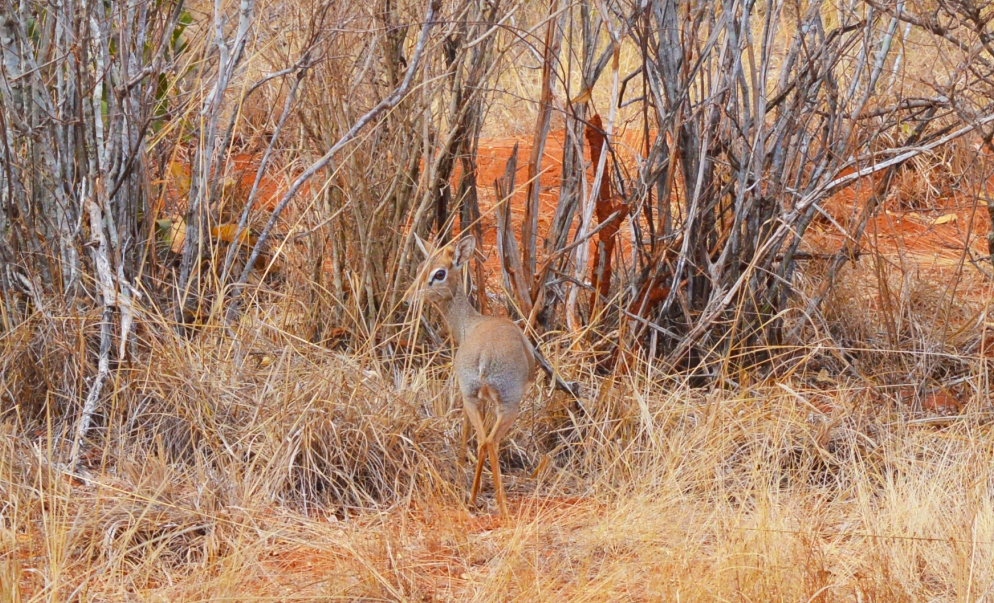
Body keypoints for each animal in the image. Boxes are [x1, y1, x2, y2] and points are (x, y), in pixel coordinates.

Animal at [408, 235, 540, 516]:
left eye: (439, 272)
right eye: (421, 267)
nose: (409, 296)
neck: (469, 324)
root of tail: (484, 357)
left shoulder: (472, 397)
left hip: (471, 396)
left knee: (480, 440)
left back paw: (471, 499)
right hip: (509, 404)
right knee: (490, 441)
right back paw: (501, 505)